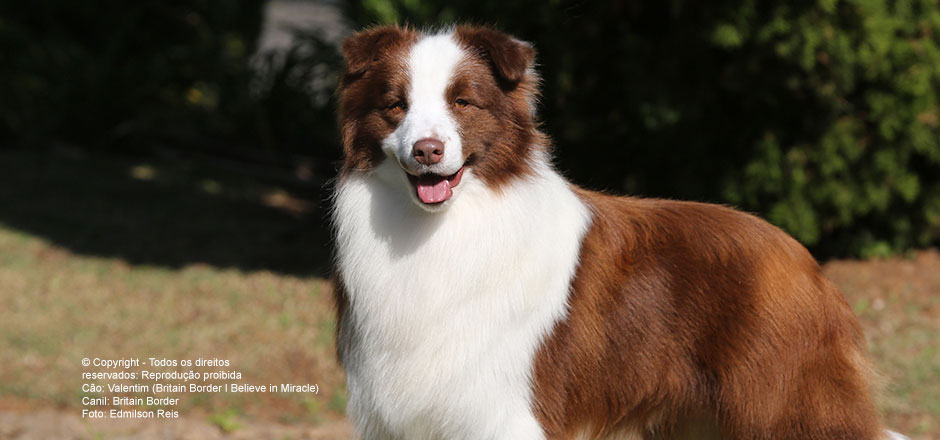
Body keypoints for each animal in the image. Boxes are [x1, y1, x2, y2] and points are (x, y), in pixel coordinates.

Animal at [332, 24, 912, 440]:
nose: (427, 151)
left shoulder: (504, 411)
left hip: (785, 405)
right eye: (396, 105)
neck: (441, 229)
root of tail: (807, 262)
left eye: (463, 102)